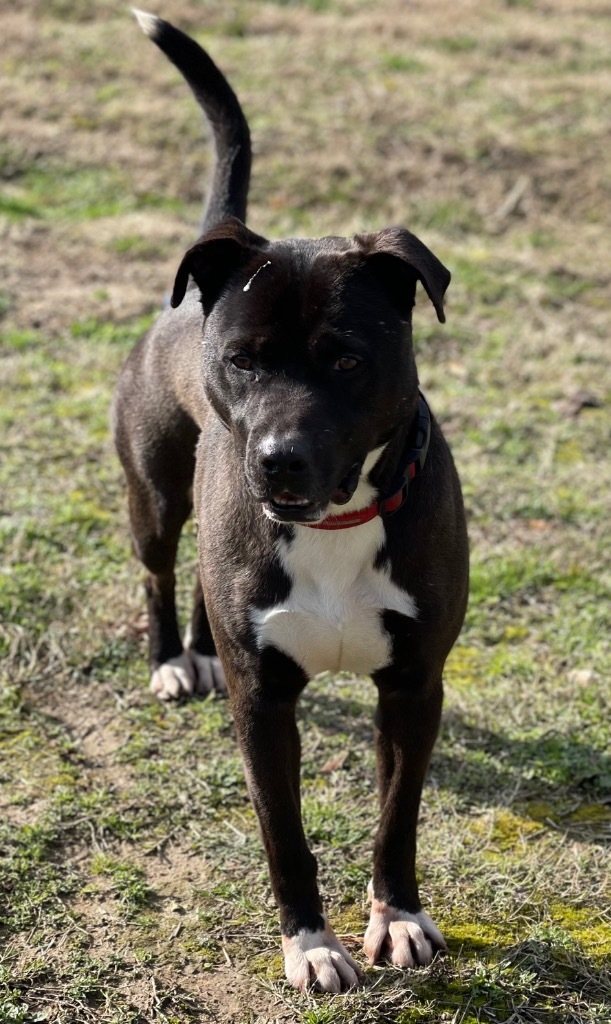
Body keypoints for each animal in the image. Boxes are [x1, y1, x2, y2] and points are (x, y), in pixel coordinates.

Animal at [113, 9, 466, 991]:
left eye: (346, 359)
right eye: (242, 361)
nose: (276, 462)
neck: (337, 526)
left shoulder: (413, 686)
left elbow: (396, 819)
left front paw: (398, 918)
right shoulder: (263, 704)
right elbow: (285, 834)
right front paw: (310, 943)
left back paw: (196, 651)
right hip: (157, 497)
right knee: (160, 570)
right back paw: (172, 658)